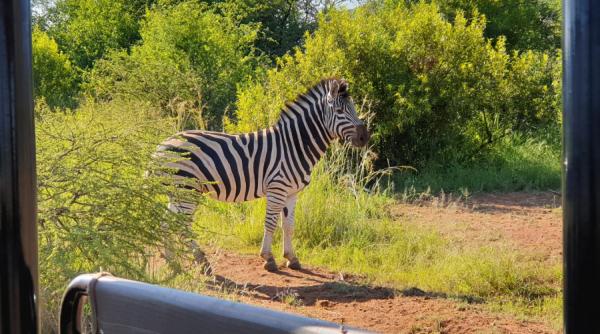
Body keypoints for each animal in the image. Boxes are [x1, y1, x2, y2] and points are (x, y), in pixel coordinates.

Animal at [157, 78, 368, 272]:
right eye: (340, 111)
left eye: (353, 108)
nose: (365, 137)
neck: (294, 145)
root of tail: (161, 145)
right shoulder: (277, 188)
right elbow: (271, 223)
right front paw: (268, 259)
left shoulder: (292, 193)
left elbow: (288, 226)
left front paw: (292, 258)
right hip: (187, 190)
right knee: (182, 225)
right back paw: (202, 262)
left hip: (177, 192)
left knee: (168, 223)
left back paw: (172, 261)